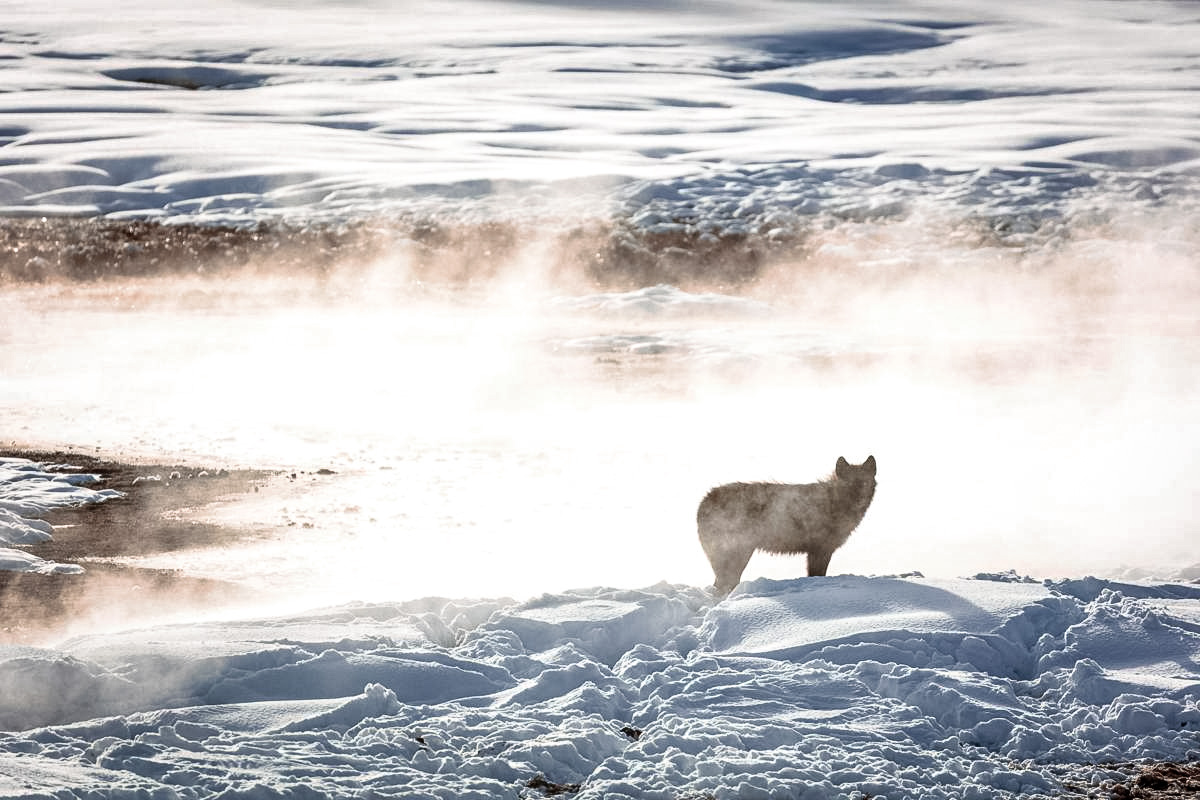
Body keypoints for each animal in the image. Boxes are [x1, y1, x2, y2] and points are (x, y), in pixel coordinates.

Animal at [700, 455, 878, 594]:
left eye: (864, 483)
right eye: (849, 484)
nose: (859, 499)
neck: (834, 503)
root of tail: (703, 501)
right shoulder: (820, 550)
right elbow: (817, 575)